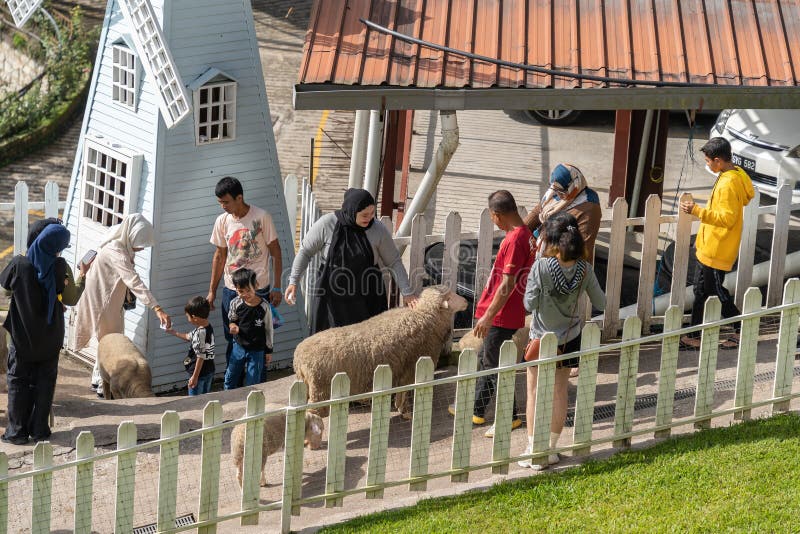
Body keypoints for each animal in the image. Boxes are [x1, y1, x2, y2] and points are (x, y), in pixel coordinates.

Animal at [294, 286, 468, 420]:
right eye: (451, 296)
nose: (466, 301)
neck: (424, 316)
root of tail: (298, 357)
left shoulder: (403, 370)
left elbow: (401, 392)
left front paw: (401, 409)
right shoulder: (411, 369)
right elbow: (404, 393)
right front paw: (406, 412)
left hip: (309, 386)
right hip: (321, 390)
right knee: (313, 413)